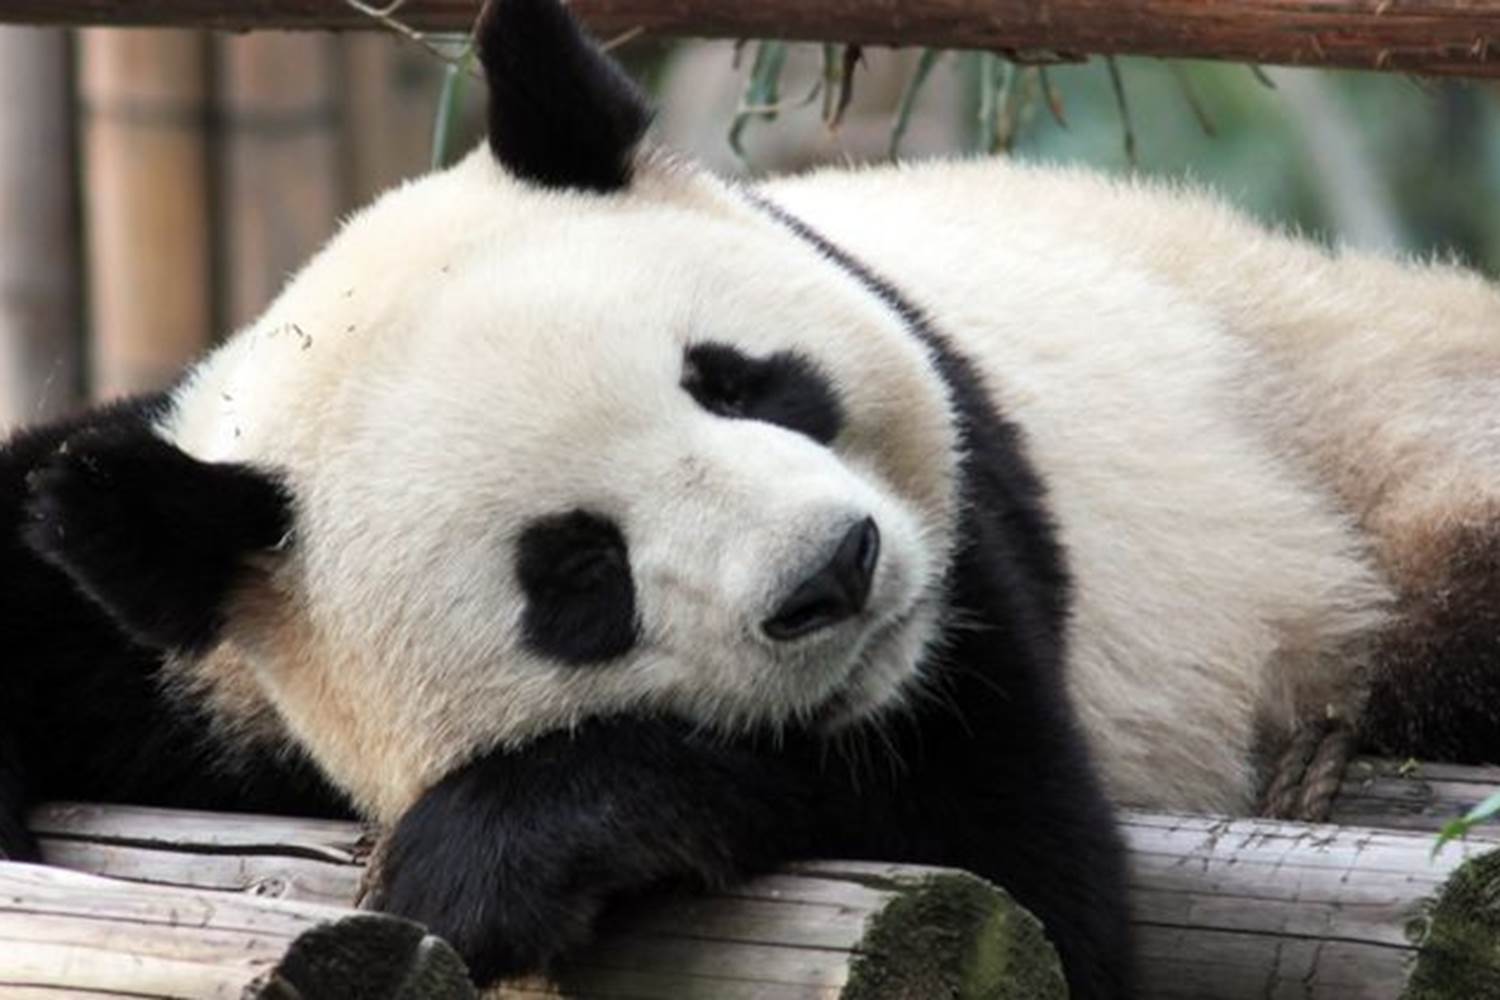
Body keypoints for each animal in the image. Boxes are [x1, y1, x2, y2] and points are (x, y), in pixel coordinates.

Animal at [6, 0, 1500, 996]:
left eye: (738, 381)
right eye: (578, 574)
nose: (834, 572)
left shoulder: (979, 587)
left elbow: (1023, 872)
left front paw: (492, 858)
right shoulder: (188, 600)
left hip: (1360, 427)